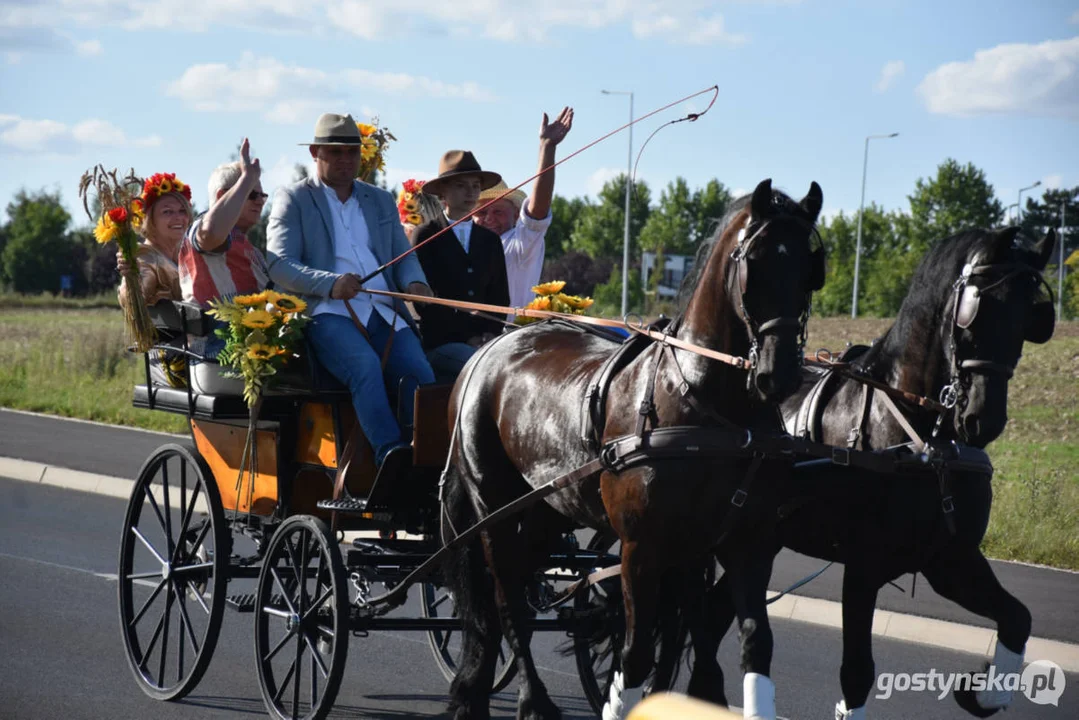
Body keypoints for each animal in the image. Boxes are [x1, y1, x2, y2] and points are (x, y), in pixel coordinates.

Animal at [440, 181, 824, 720]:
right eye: (756, 261)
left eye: (811, 268)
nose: (781, 372)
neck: (705, 402)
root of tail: (492, 347)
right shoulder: (642, 548)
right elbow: (637, 653)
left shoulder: (741, 543)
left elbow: (747, 643)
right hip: (492, 504)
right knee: (505, 597)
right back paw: (532, 700)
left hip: (546, 510)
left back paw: (477, 691)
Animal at [690, 225, 1053, 720]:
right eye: (976, 311)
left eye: (1029, 315)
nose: (983, 418)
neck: (920, 439)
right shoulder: (864, 567)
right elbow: (858, 671)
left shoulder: (949, 560)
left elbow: (1018, 617)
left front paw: (982, 692)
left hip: (756, 541)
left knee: (711, 616)